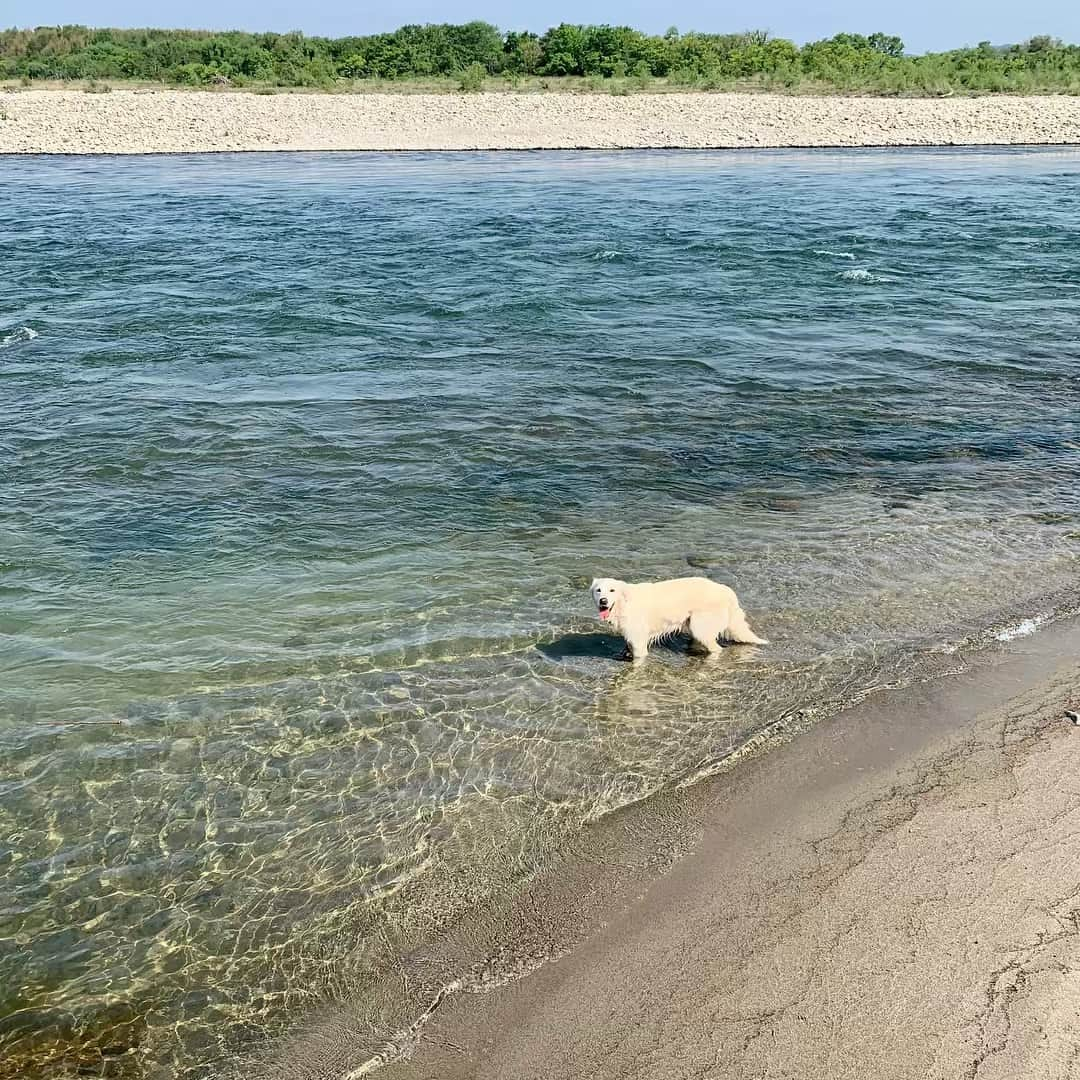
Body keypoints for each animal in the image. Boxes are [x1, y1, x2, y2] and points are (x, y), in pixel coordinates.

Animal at [591, 578, 768, 660]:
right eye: (598, 590)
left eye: (612, 590)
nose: (603, 601)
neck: (624, 603)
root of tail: (726, 591)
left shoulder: (638, 639)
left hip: (700, 625)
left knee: (716, 648)